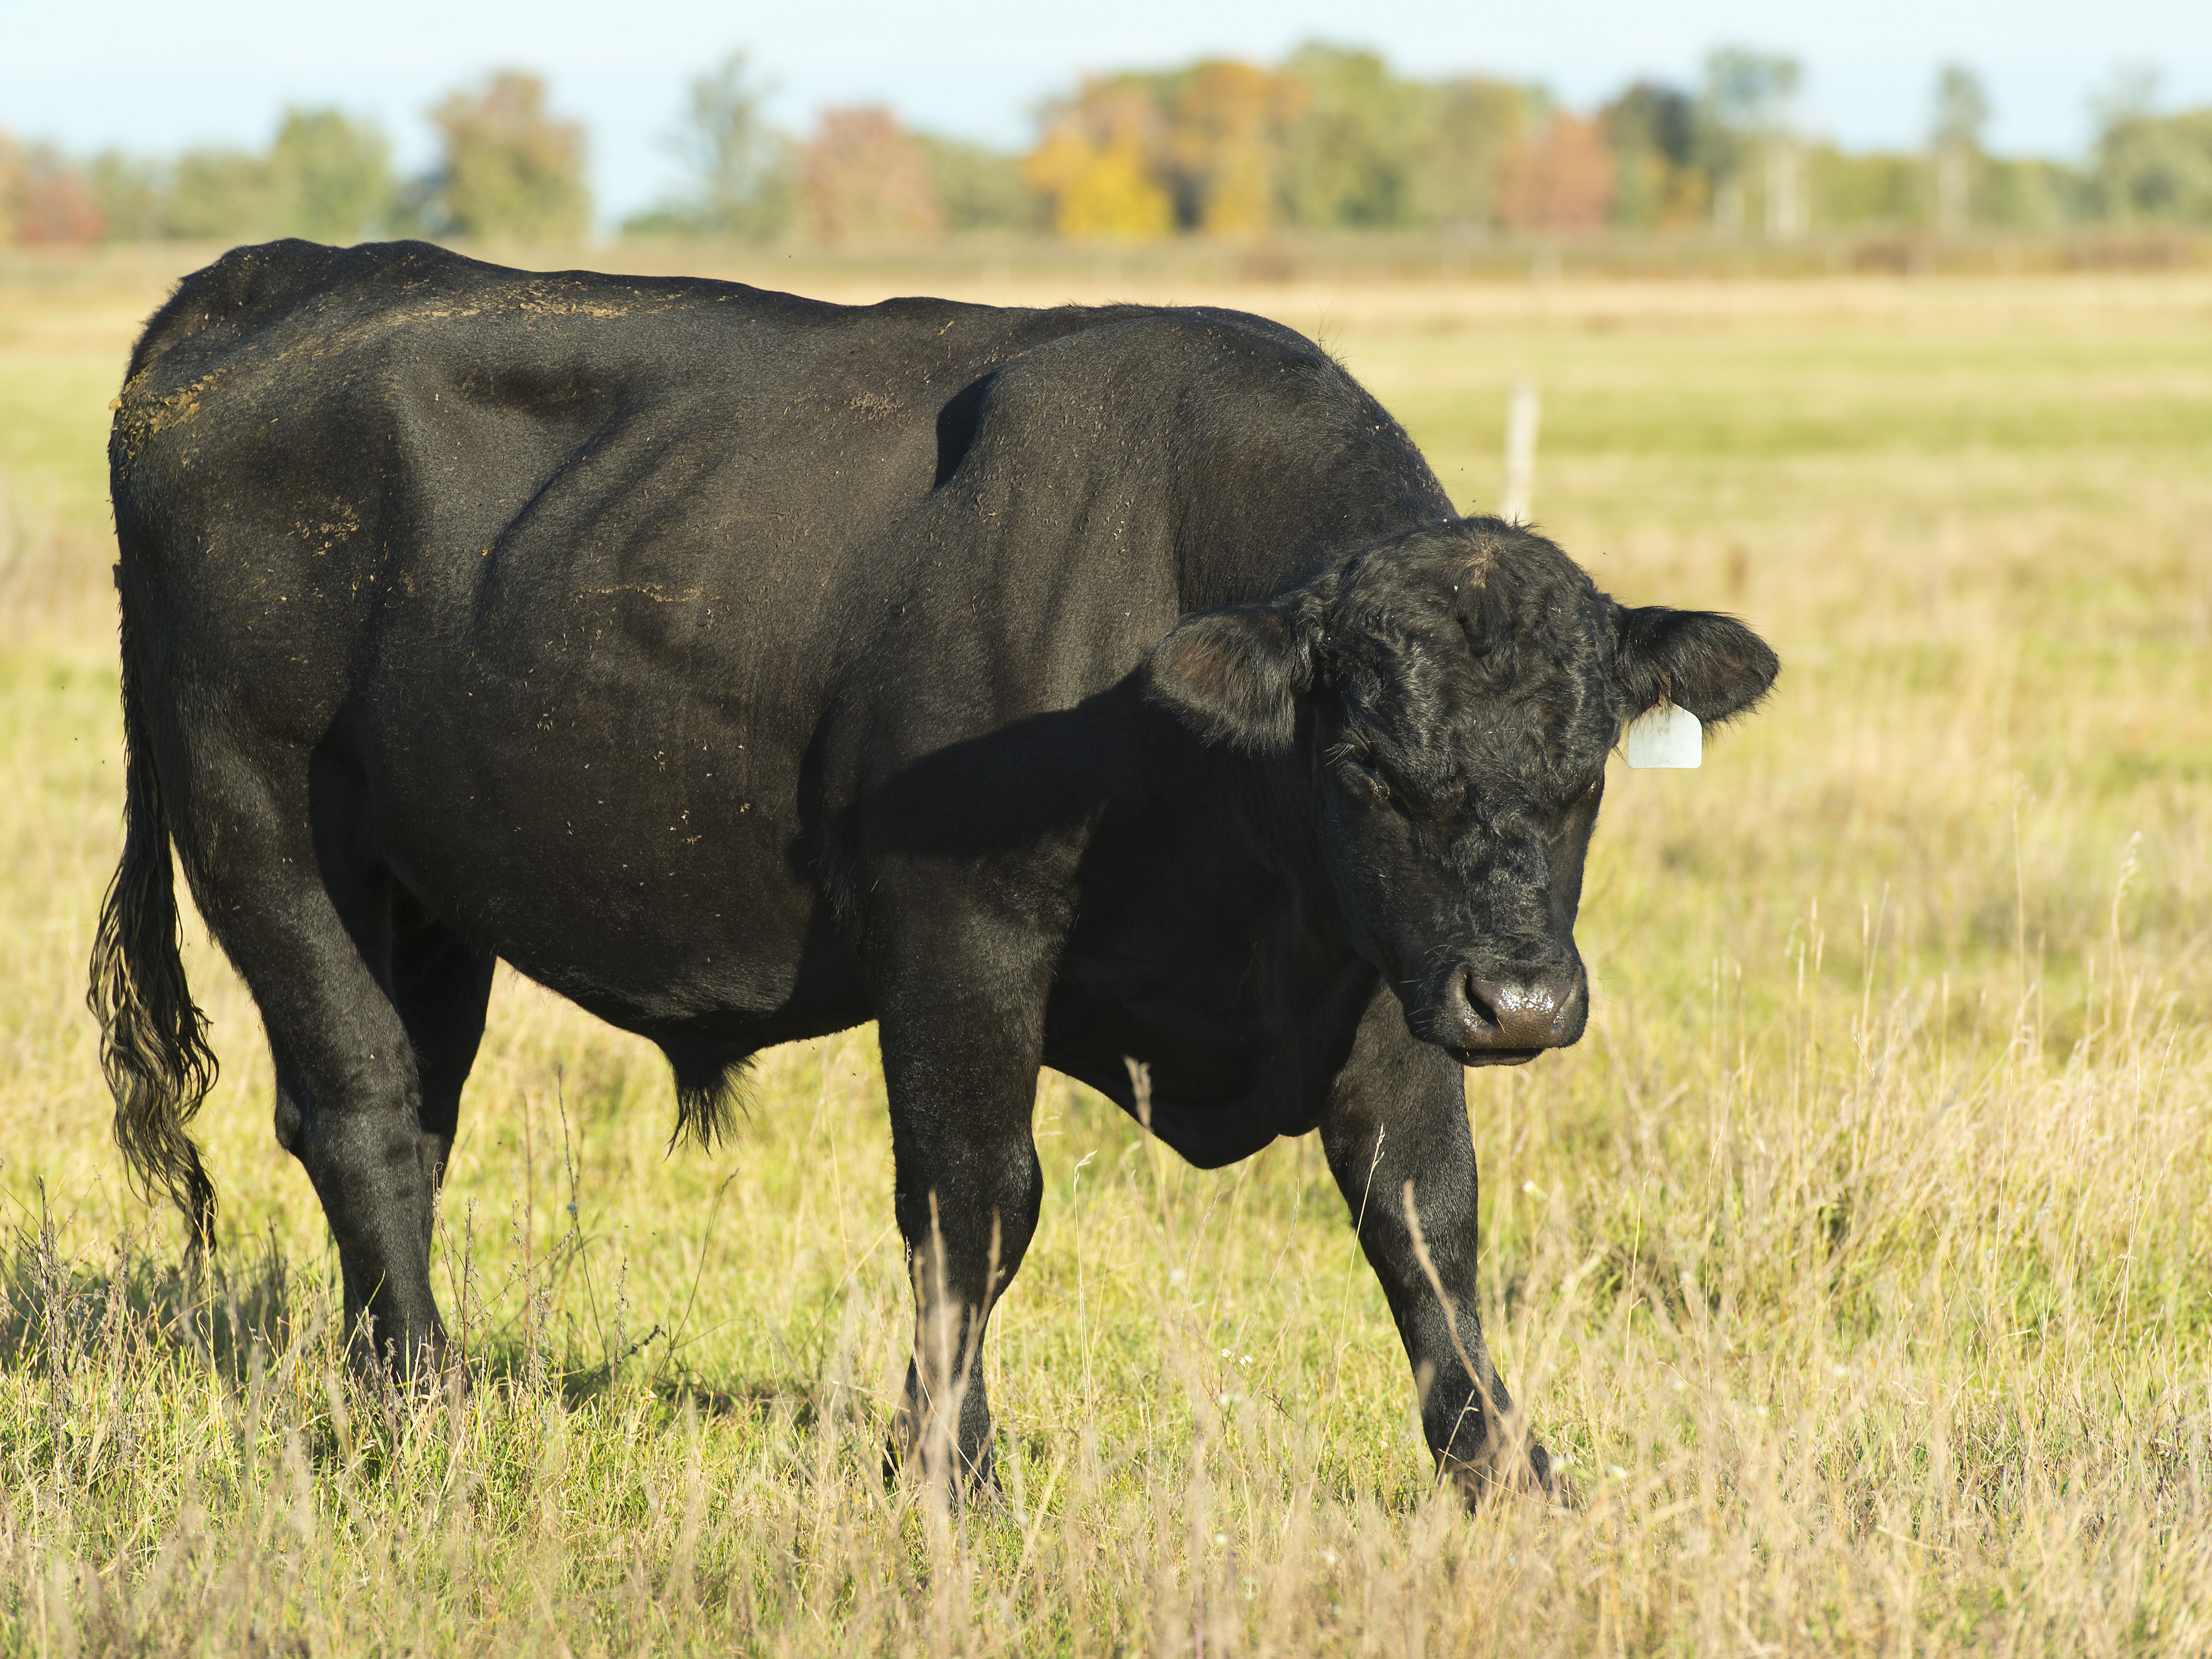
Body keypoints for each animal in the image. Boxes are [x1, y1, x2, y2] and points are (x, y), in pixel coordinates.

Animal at [92, 240, 1776, 1501]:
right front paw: (946, 1466)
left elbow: (1422, 1215)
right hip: (257, 816)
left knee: (412, 1117)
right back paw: (427, 1407)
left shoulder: (1375, 970)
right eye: (1363, 764)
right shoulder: (959, 931)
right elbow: (974, 1202)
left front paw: (1507, 1469)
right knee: (362, 1105)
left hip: (427, 888)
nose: (1519, 1000)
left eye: (1584, 772)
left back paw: (391, 1373)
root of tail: (271, 280)